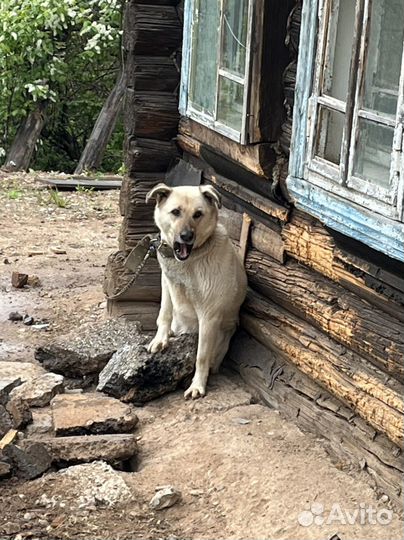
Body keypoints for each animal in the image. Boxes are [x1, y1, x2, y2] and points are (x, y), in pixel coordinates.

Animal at [145, 184, 246, 398]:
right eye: (176, 212)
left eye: (198, 214)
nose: (186, 236)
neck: (189, 260)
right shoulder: (167, 282)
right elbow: (164, 314)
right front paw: (160, 339)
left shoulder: (209, 316)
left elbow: (201, 356)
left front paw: (197, 385)